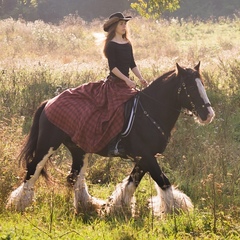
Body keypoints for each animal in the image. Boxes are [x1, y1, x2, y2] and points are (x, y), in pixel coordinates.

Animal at [7, 62, 214, 215]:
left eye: (202, 85)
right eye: (189, 87)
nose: (208, 115)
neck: (149, 111)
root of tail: (48, 102)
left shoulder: (144, 157)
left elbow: (132, 182)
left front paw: (115, 207)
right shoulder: (147, 156)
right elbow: (163, 181)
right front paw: (175, 210)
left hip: (79, 151)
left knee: (74, 177)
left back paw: (86, 205)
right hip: (48, 145)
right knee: (33, 169)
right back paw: (18, 204)